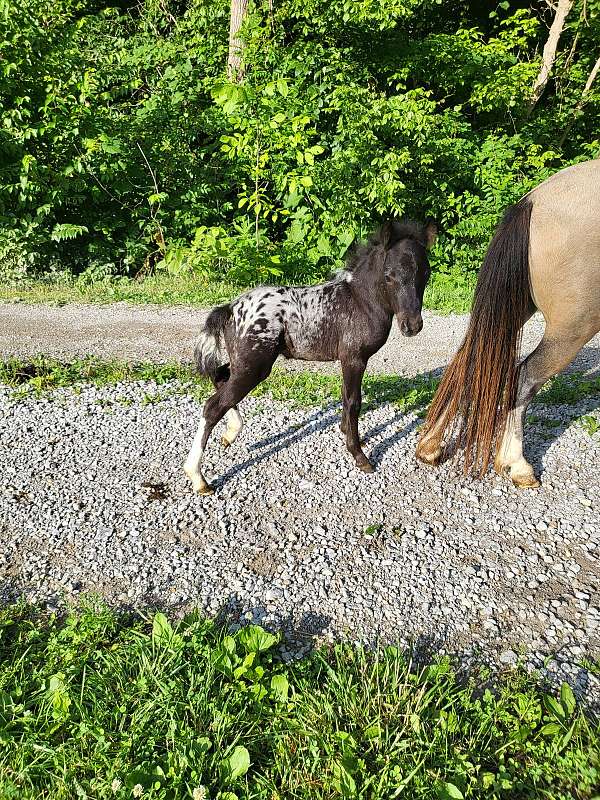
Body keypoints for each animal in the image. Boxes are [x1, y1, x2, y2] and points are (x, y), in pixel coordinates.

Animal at [184, 219, 437, 494]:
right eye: (389, 276)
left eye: (426, 273)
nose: (412, 325)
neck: (360, 301)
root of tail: (230, 308)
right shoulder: (355, 359)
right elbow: (354, 401)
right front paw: (359, 455)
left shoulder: (347, 360)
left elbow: (345, 397)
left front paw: (344, 431)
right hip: (254, 367)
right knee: (213, 406)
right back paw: (198, 477)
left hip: (244, 363)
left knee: (219, 376)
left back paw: (231, 432)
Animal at [416, 159, 600, 488]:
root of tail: (534, 200)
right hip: (572, 327)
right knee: (525, 376)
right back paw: (517, 464)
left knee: (469, 359)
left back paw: (431, 446)